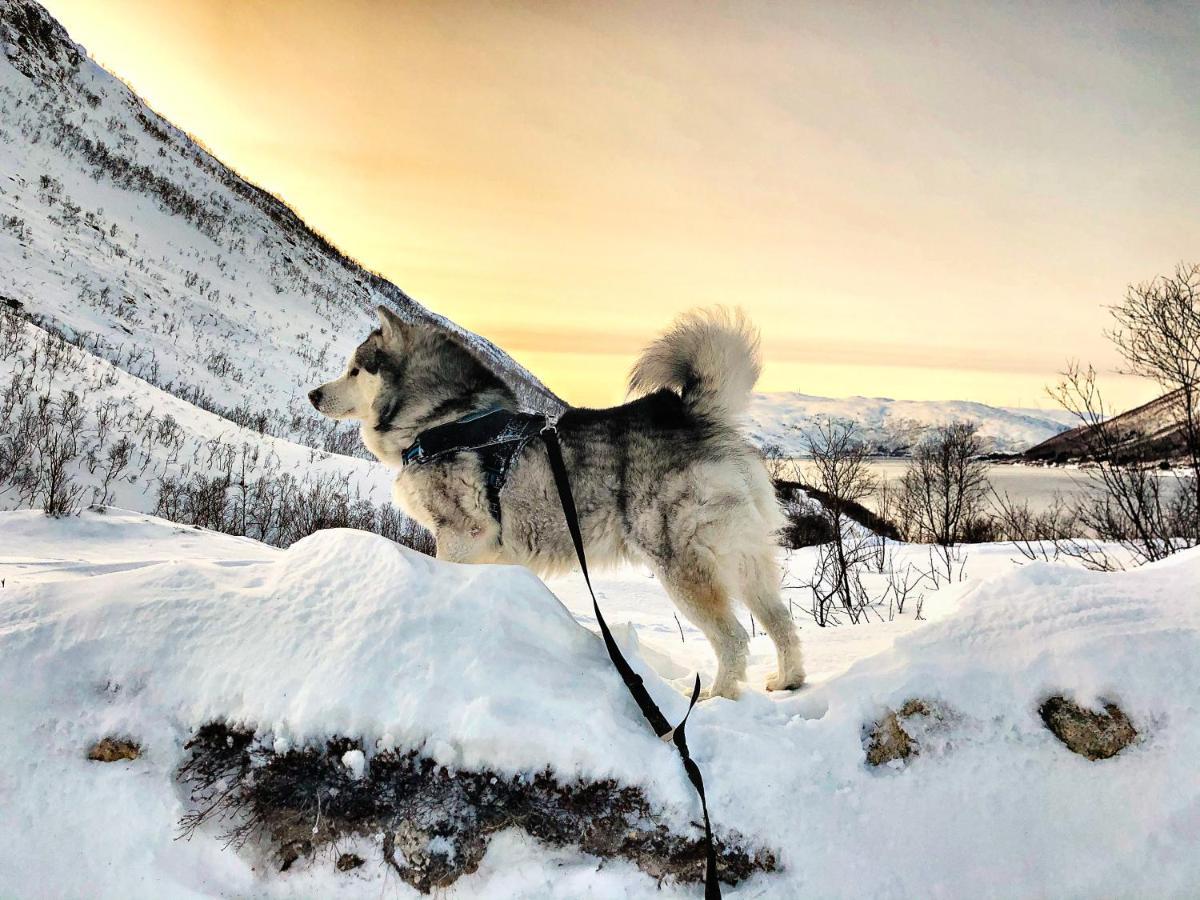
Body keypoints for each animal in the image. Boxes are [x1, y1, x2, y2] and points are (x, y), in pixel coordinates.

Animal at [309, 307, 801, 700]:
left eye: (356, 370)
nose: (314, 394)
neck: (442, 417)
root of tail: (695, 415)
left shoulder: (461, 536)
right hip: (747, 559)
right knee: (781, 621)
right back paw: (788, 681)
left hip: (680, 564)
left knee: (733, 637)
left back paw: (714, 698)